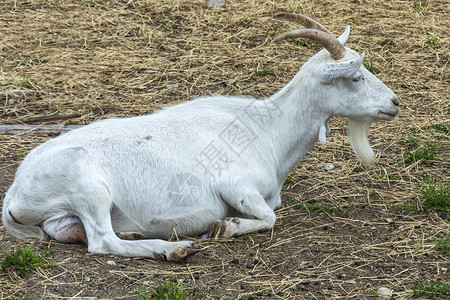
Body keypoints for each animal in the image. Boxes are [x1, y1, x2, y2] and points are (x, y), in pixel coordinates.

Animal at [2, 15, 398, 262]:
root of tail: (14, 193)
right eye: (356, 77)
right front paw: (225, 227)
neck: (268, 129)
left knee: (80, 232)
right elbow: (269, 217)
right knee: (101, 241)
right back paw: (173, 249)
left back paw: (140, 236)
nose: (394, 103)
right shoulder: (234, 185)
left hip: (63, 213)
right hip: (88, 186)